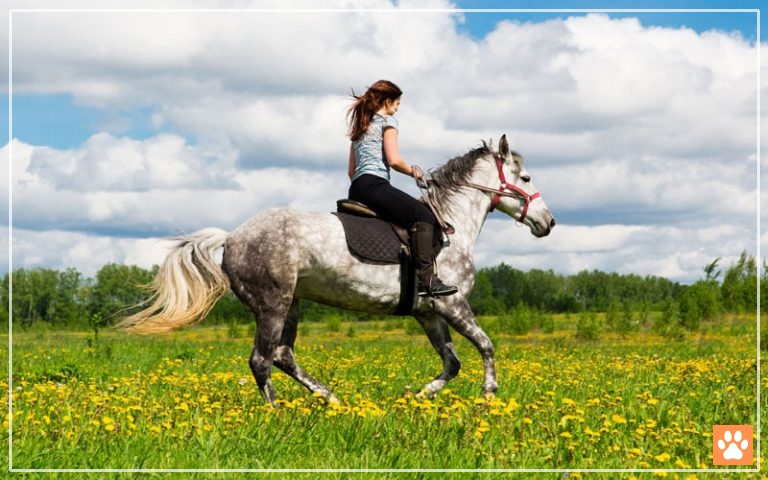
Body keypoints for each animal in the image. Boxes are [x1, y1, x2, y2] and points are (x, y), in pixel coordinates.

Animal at [118, 134, 555, 406]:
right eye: (526, 177)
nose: (548, 223)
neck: (450, 226)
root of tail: (232, 237)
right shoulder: (452, 303)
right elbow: (486, 345)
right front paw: (489, 396)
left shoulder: (428, 313)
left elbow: (452, 362)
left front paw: (417, 397)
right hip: (272, 304)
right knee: (262, 360)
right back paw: (277, 411)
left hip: (291, 304)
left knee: (282, 355)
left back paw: (330, 398)